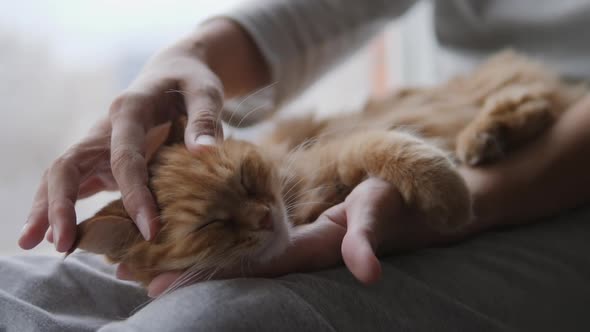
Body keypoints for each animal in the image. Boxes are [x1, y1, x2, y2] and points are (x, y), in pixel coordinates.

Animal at [69, 52, 588, 286]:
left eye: (246, 179)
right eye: (211, 225)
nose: (265, 217)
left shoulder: (338, 148)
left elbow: (394, 147)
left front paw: (451, 198)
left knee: (533, 98)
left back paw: (481, 140)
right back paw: (486, 141)